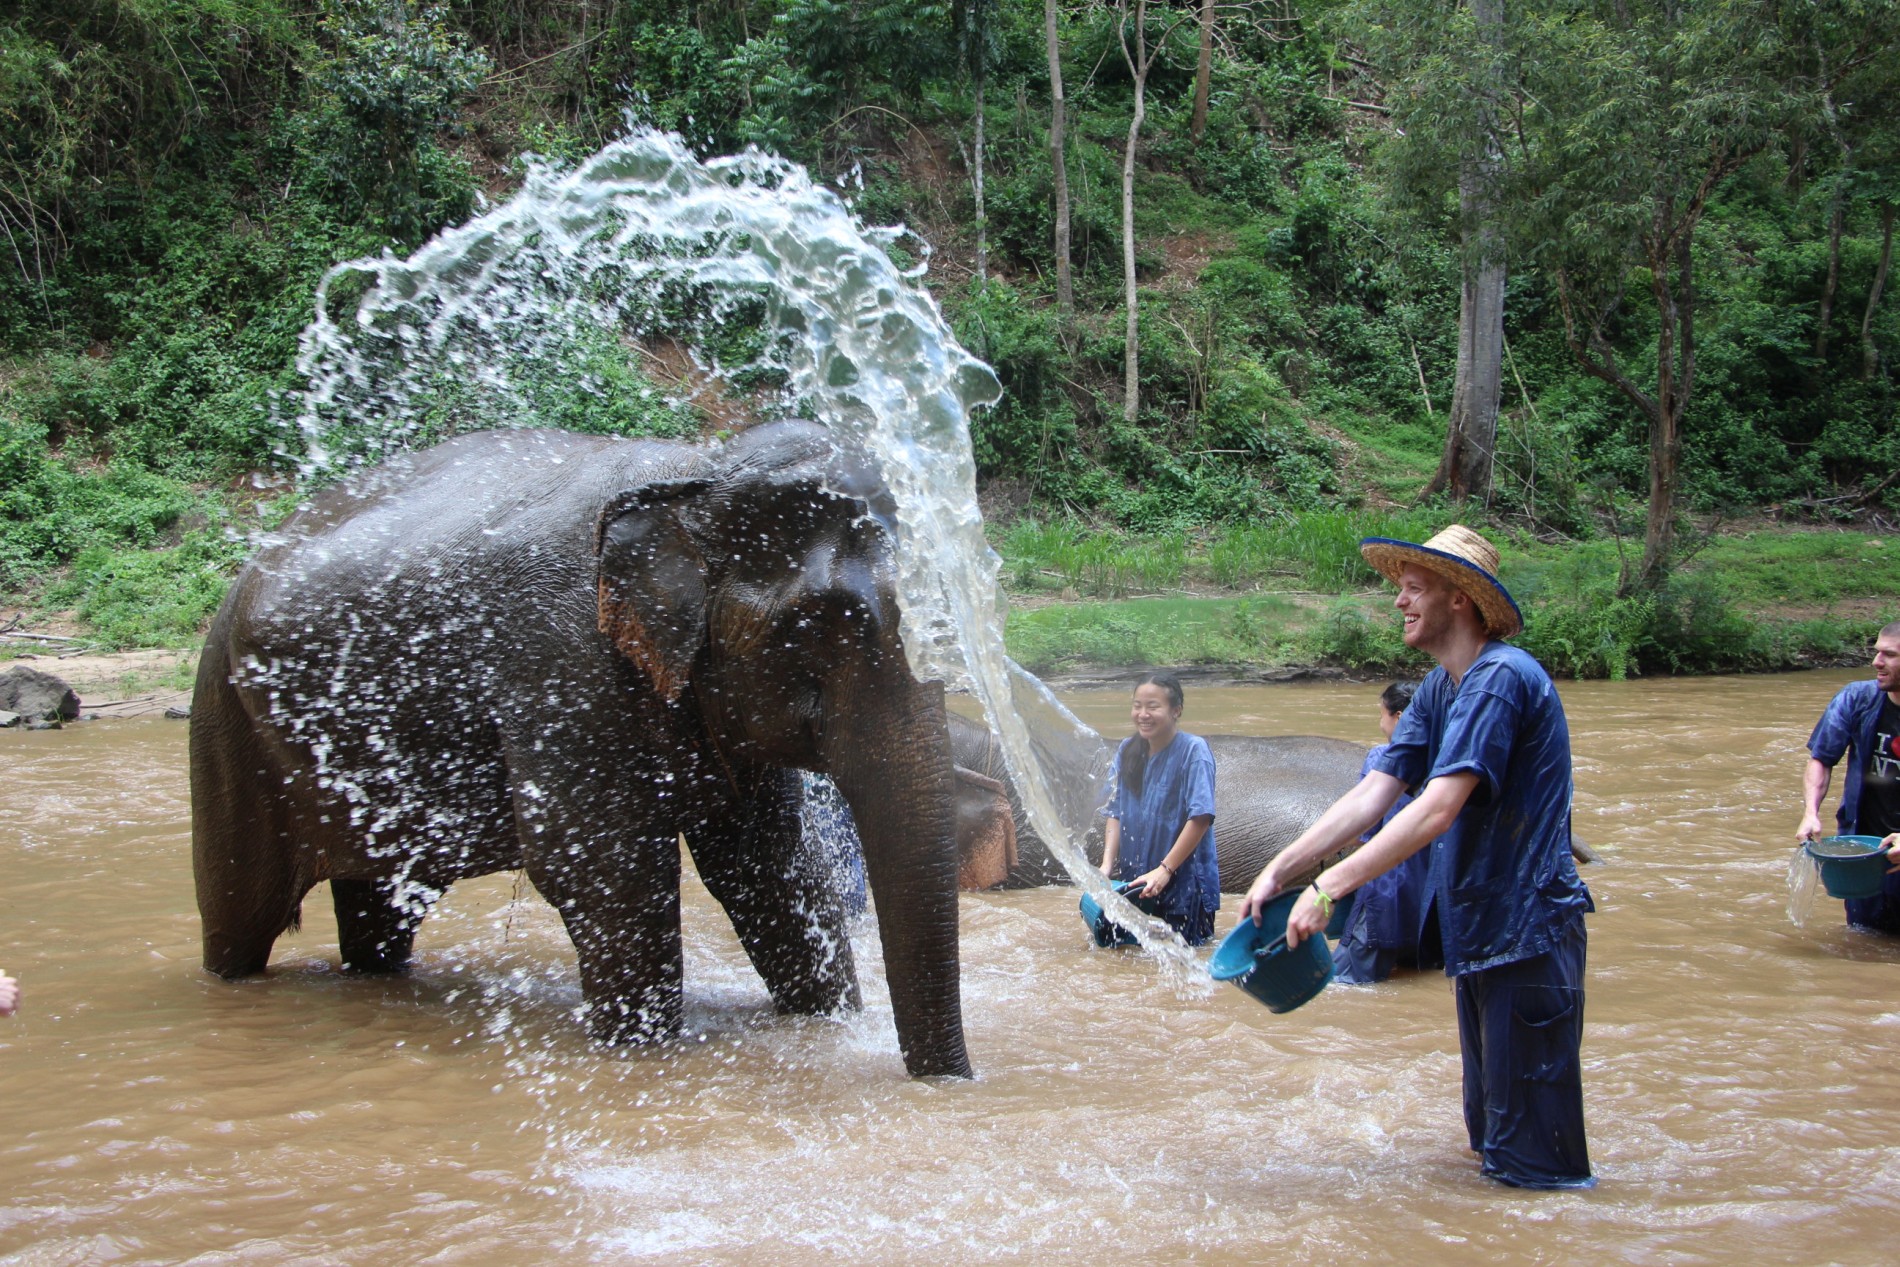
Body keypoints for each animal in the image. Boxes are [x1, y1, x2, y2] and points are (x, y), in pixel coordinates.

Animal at [191, 421, 971, 1079]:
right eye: (817, 624)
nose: (949, 1084)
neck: (696, 472)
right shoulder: (558, 667)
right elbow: (602, 867)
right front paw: (642, 1055)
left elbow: (768, 865)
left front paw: (824, 1021)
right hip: (228, 725)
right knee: (241, 913)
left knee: (381, 906)